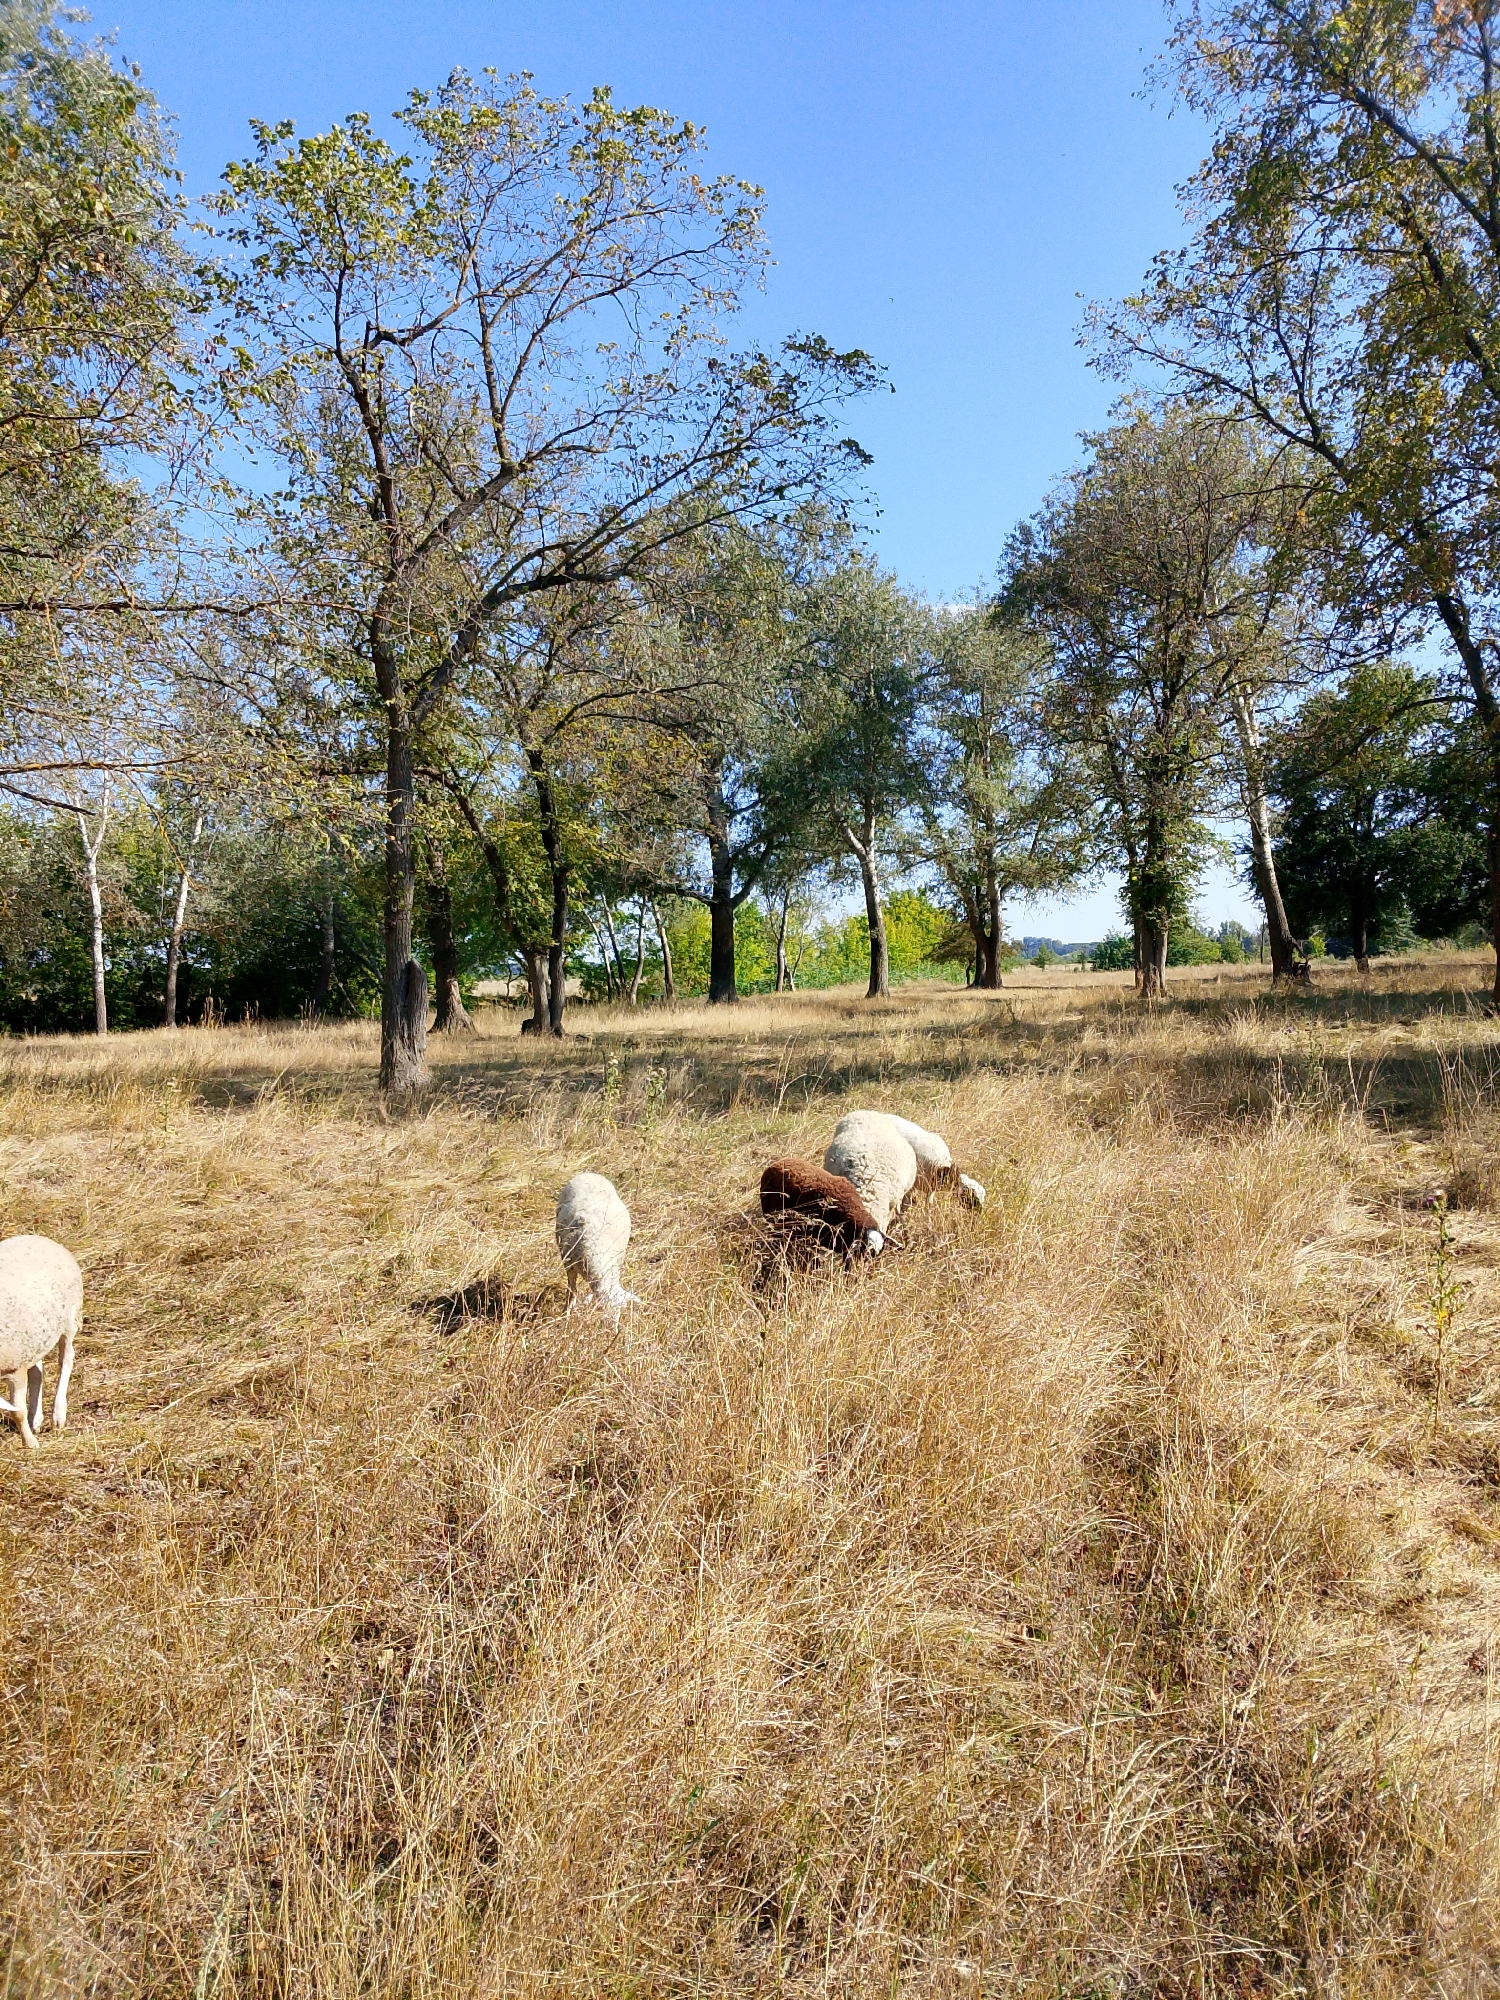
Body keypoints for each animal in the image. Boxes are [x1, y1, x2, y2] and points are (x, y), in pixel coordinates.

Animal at [0, 1234, 81, 1450]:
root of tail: (37, 1237)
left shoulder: (14, 1367)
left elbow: (17, 1412)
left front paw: (30, 1444)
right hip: (35, 1337)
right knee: (37, 1372)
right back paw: (35, 1419)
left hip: (71, 1317)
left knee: (66, 1359)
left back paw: (58, 1415)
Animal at [555, 1173, 641, 1318]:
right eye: (602, 1309)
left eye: (620, 1311)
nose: (613, 1326)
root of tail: (589, 1173)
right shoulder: (569, 1265)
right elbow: (571, 1288)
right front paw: (566, 1312)